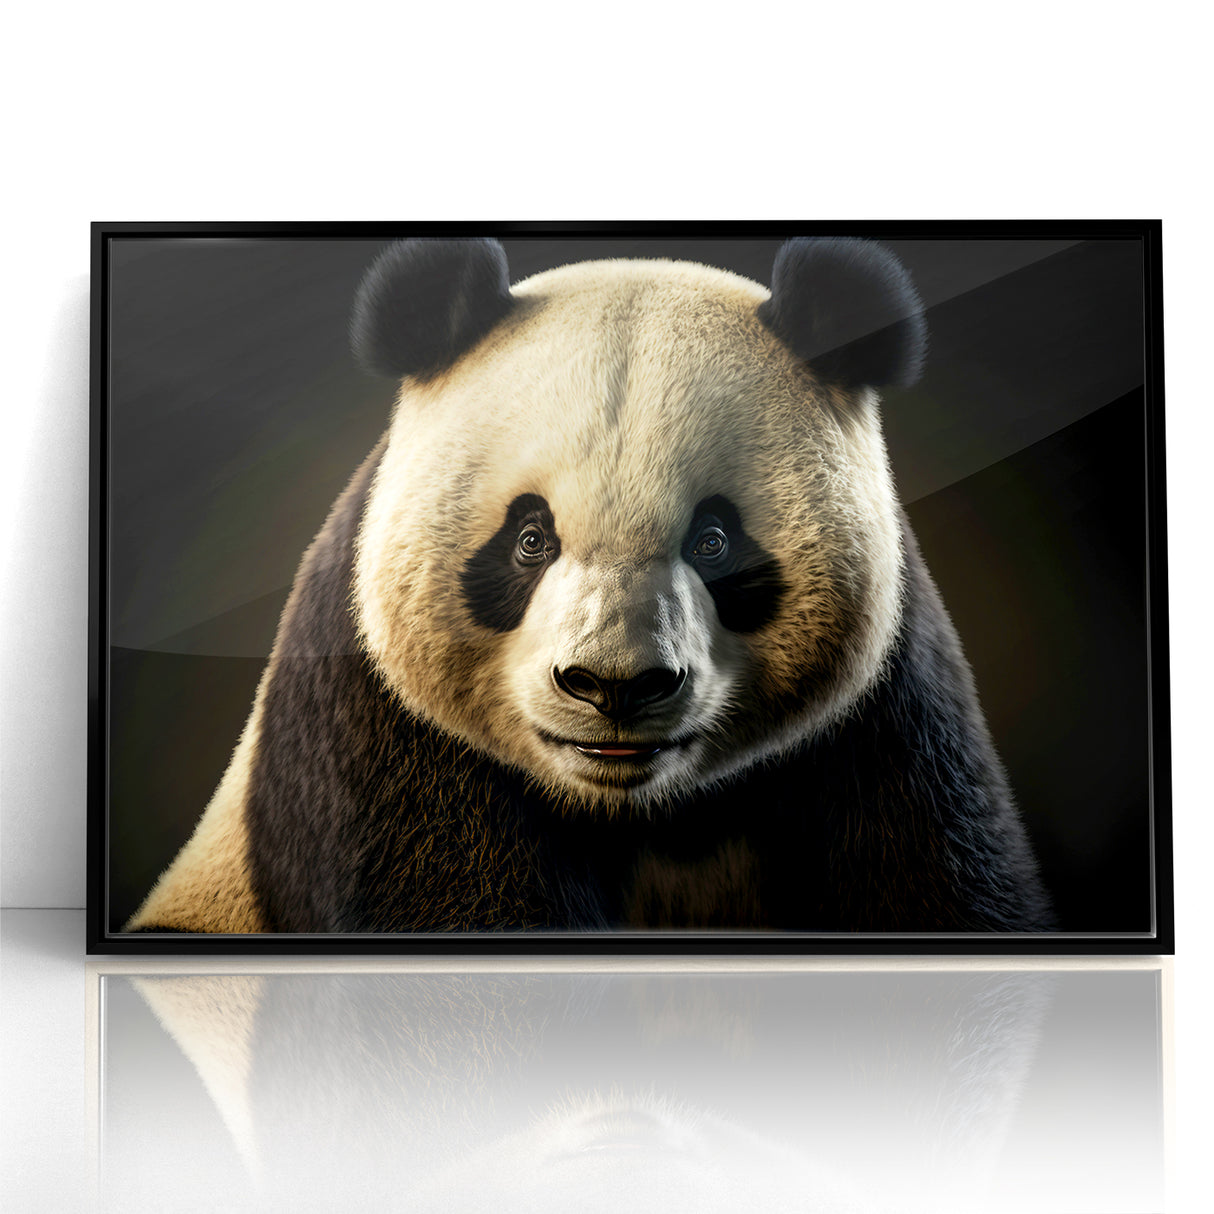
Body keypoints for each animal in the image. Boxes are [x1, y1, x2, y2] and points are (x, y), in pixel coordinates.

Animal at [127, 236, 1054, 935]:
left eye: (714, 542)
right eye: (530, 539)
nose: (614, 686)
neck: (643, 816)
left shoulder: (887, 718)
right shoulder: (379, 728)